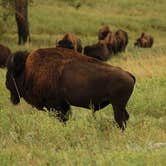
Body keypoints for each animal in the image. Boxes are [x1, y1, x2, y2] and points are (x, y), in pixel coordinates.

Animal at [5, 46, 136, 130]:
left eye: (11, 74)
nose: (6, 83)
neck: (27, 71)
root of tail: (128, 74)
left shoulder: (56, 105)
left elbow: (63, 118)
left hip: (117, 105)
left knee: (120, 119)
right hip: (119, 105)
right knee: (125, 118)